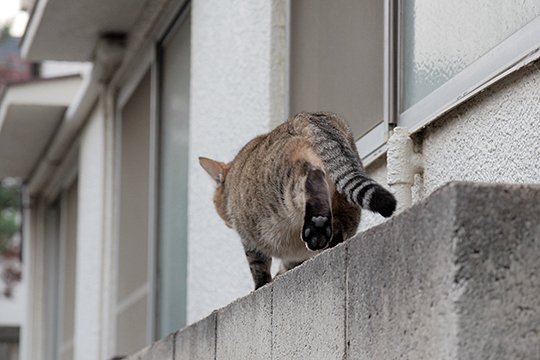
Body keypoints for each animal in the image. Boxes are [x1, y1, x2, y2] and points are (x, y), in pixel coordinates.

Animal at [199, 111, 396, 288]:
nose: (226, 222)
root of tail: (309, 116)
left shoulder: (248, 237)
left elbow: (258, 265)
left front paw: (261, 285)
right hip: (345, 198)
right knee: (342, 223)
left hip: (287, 187)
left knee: (313, 179)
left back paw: (317, 228)